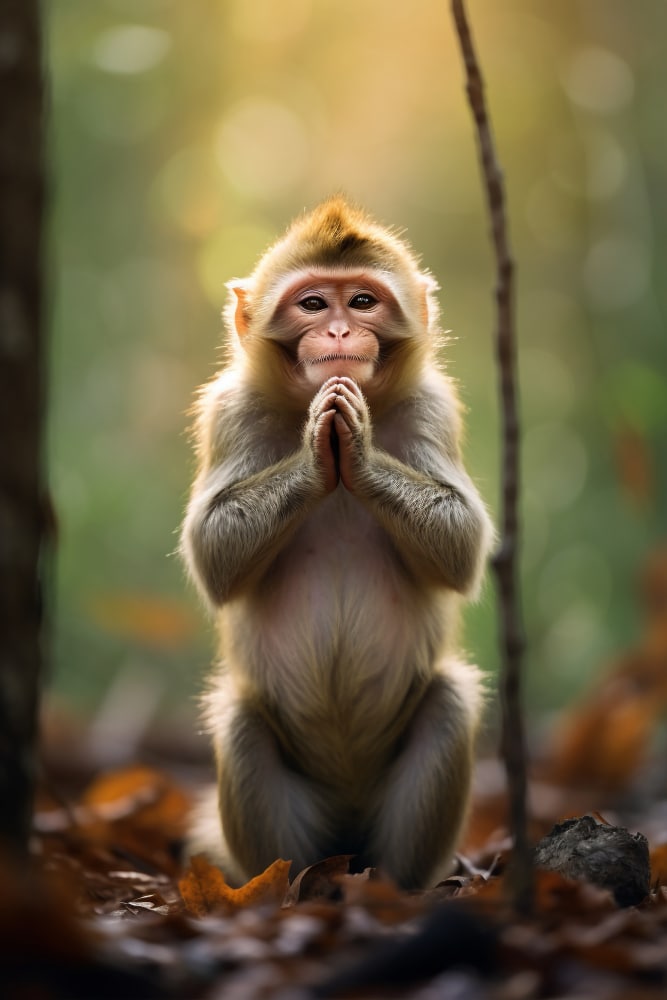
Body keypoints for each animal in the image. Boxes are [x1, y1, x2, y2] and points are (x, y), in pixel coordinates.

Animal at [180, 197, 494, 889]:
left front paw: (360, 452)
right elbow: (211, 554)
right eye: (314, 304)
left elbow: (463, 545)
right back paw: (285, 888)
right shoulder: (229, 409)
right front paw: (315, 455)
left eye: (364, 302)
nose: (343, 333)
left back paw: (397, 888)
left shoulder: (434, 406)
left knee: (448, 702)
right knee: (241, 723)